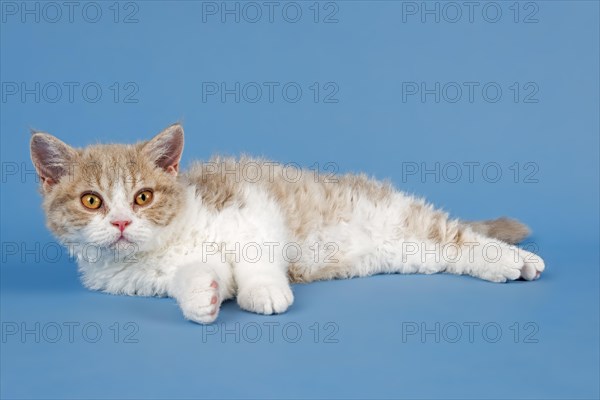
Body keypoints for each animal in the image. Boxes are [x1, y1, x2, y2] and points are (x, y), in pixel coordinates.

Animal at [30, 123, 548, 324]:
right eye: (92, 200)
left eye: (143, 196)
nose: (120, 222)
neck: (171, 239)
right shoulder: (146, 280)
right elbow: (196, 277)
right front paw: (202, 298)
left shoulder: (247, 204)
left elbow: (256, 255)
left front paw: (265, 292)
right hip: (411, 254)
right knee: (447, 254)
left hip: (400, 213)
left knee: (461, 235)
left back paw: (515, 260)